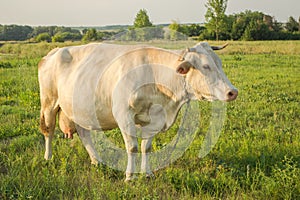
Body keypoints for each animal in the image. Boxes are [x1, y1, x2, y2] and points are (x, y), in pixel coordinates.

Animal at [38, 41, 238, 181]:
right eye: (206, 66)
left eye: (219, 63)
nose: (232, 92)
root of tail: (54, 52)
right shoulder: (124, 115)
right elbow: (133, 147)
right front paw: (130, 176)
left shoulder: (155, 119)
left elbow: (146, 147)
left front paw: (147, 174)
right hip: (49, 102)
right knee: (49, 131)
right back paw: (48, 158)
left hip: (80, 108)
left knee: (84, 133)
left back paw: (96, 161)